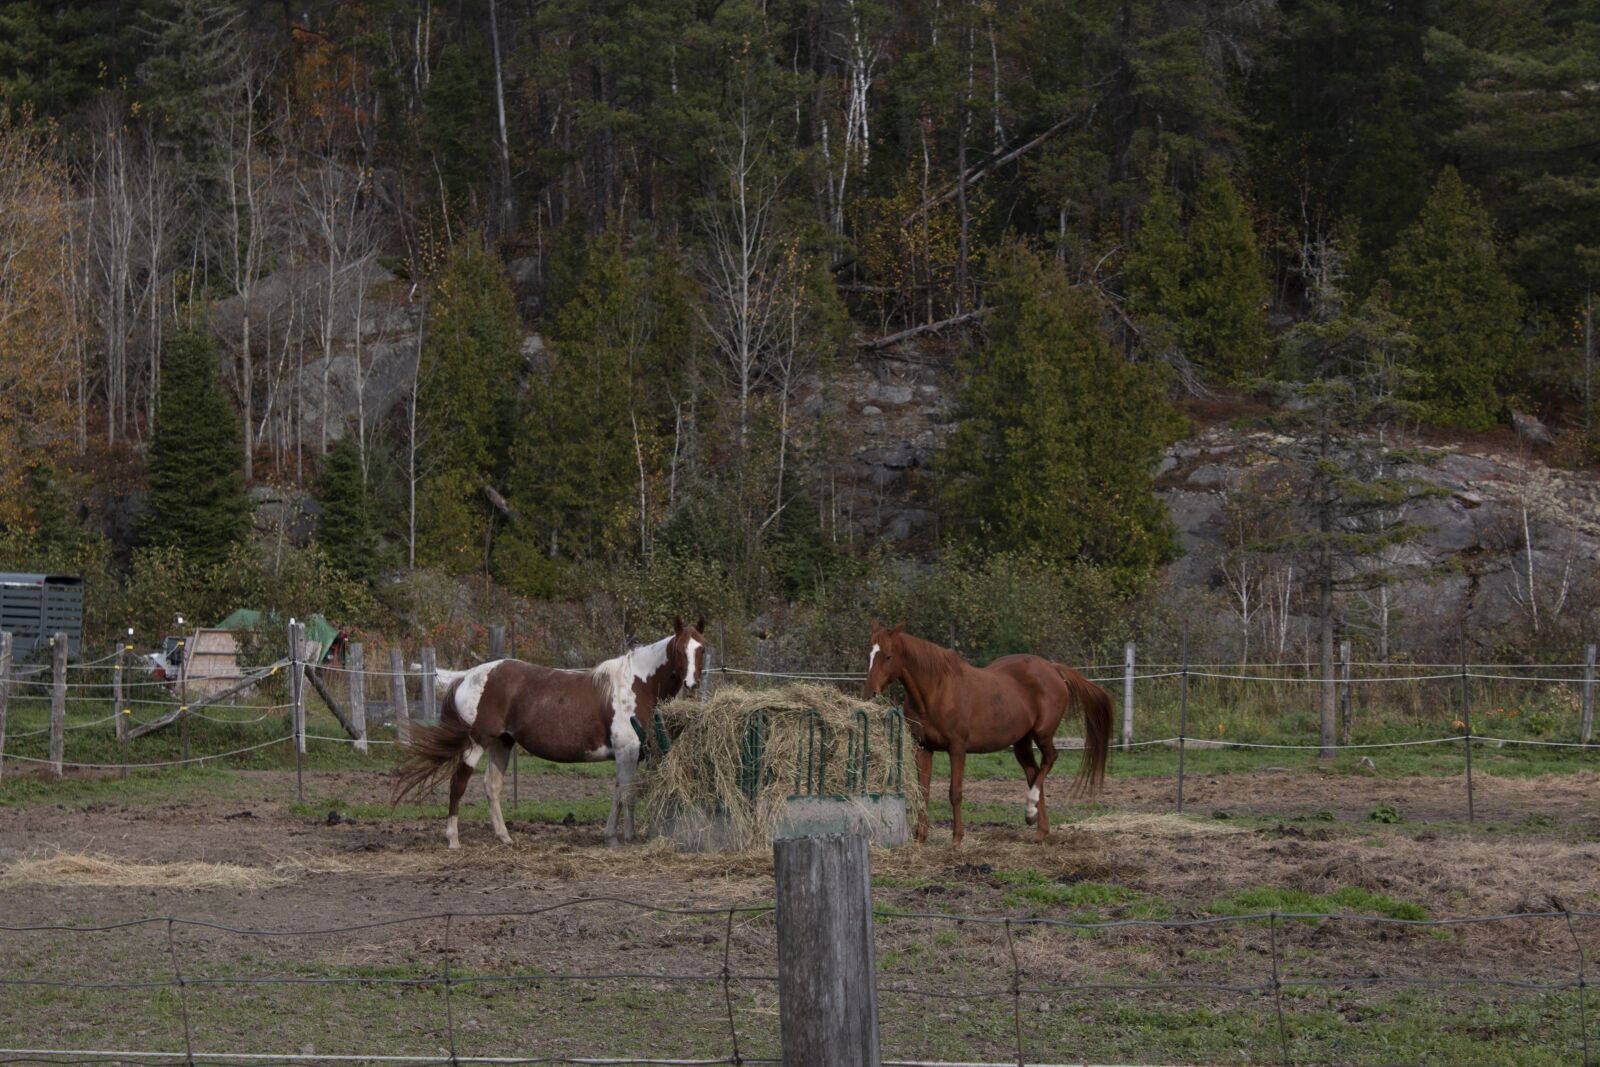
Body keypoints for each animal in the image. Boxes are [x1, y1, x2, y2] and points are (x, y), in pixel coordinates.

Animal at [395, 617, 707, 851]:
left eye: (701, 649)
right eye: (679, 649)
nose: (692, 684)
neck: (636, 684)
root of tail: (467, 675)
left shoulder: (634, 754)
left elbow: (626, 793)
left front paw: (627, 836)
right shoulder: (626, 751)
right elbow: (623, 794)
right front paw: (615, 838)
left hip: (502, 743)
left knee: (491, 786)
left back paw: (505, 837)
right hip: (477, 742)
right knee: (458, 784)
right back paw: (453, 839)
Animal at [864, 627, 1113, 844]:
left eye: (888, 656)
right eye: (870, 655)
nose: (870, 692)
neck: (936, 691)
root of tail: (1053, 669)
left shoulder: (957, 748)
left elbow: (955, 792)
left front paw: (956, 840)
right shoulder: (923, 748)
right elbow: (923, 792)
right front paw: (920, 839)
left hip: (1042, 734)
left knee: (1050, 759)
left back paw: (1030, 808)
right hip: (1021, 743)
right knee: (1033, 772)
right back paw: (1038, 826)